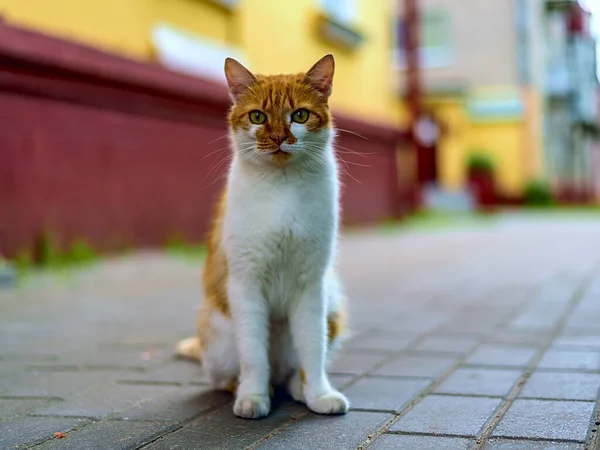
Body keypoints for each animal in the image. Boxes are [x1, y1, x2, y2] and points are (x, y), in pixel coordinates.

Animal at [176, 54, 350, 420]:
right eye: (258, 116)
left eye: (299, 115)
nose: (280, 137)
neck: (282, 188)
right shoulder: (246, 283)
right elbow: (254, 353)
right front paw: (253, 397)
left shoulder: (311, 284)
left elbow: (312, 348)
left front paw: (319, 393)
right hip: (218, 332)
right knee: (226, 376)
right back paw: (255, 387)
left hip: (333, 301)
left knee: (295, 368)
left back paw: (298, 387)